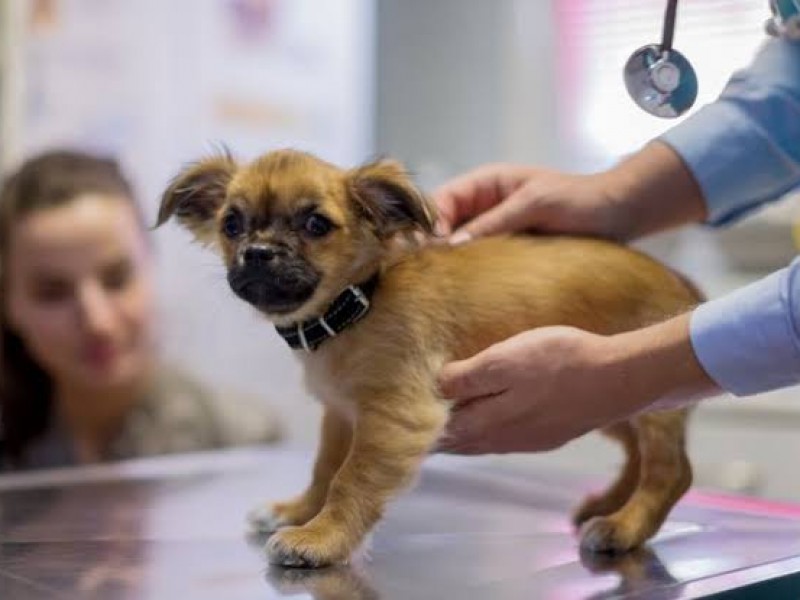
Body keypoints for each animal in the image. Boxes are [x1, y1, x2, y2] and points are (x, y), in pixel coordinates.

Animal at [155, 149, 692, 568]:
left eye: (316, 224)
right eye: (231, 224)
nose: (259, 252)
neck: (356, 302)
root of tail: (683, 284)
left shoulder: (396, 414)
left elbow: (351, 478)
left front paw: (322, 538)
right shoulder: (343, 415)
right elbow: (325, 467)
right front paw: (300, 511)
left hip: (644, 404)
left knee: (670, 472)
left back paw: (624, 526)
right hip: (617, 398)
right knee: (637, 456)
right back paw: (610, 505)